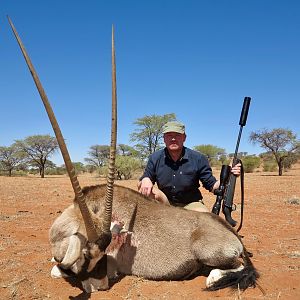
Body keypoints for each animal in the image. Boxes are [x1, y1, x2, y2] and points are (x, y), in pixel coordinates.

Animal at [8, 16, 258, 292]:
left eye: (99, 255)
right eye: (86, 254)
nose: (100, 286)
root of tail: (234, 237)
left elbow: (55, 270)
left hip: (214, 255)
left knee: (230, 268)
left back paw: (211, 277)